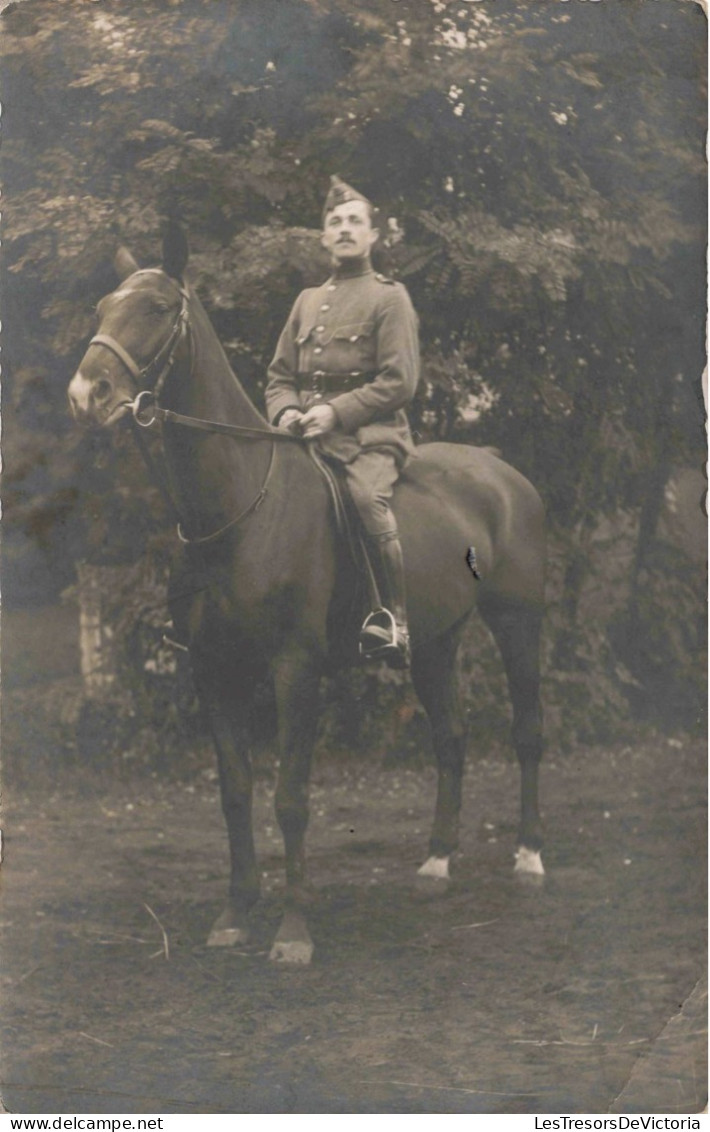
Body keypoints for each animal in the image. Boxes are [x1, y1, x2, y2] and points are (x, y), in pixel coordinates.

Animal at [66, 227, 548, 964]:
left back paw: (528, 857)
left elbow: (289, 798)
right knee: (452, 737)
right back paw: (437, 861)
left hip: (517, 623)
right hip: (436, 641)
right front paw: (236, 912)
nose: (86, 393)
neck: (239, 508)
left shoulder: (296, 667)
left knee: (526, 732)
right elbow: (236, 792)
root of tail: (501, 471)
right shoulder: (216, 670)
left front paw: (293, 930)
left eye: (155, 307)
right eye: (103, 305)